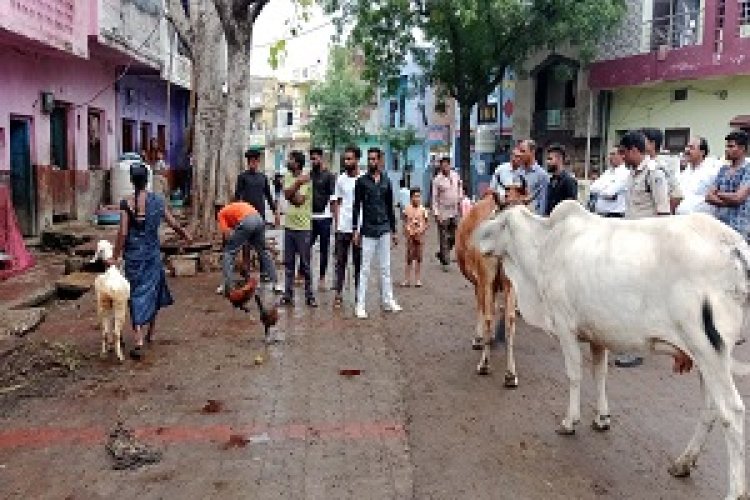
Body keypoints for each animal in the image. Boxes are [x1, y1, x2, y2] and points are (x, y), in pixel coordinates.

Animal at [456, 186, 524, 384]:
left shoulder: (479, 282)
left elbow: (482, 309)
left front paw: (478, 339)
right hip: (511, 283)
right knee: (510, 319)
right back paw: (511, 374)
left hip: (486, 280)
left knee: (487, 315)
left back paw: (484, 365)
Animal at [476, 200, 750, 500]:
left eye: (500, 221)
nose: (475, 237)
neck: (545, 244)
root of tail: (734, 244)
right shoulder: (598, 334)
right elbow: (600, 374)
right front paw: (602, 418)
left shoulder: (565, 326)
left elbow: (574, 375)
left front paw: (569, 421)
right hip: (703, 359)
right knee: (711, 410)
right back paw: (683, 463)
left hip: (709, 352)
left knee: (732, 412)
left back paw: (735, 491)